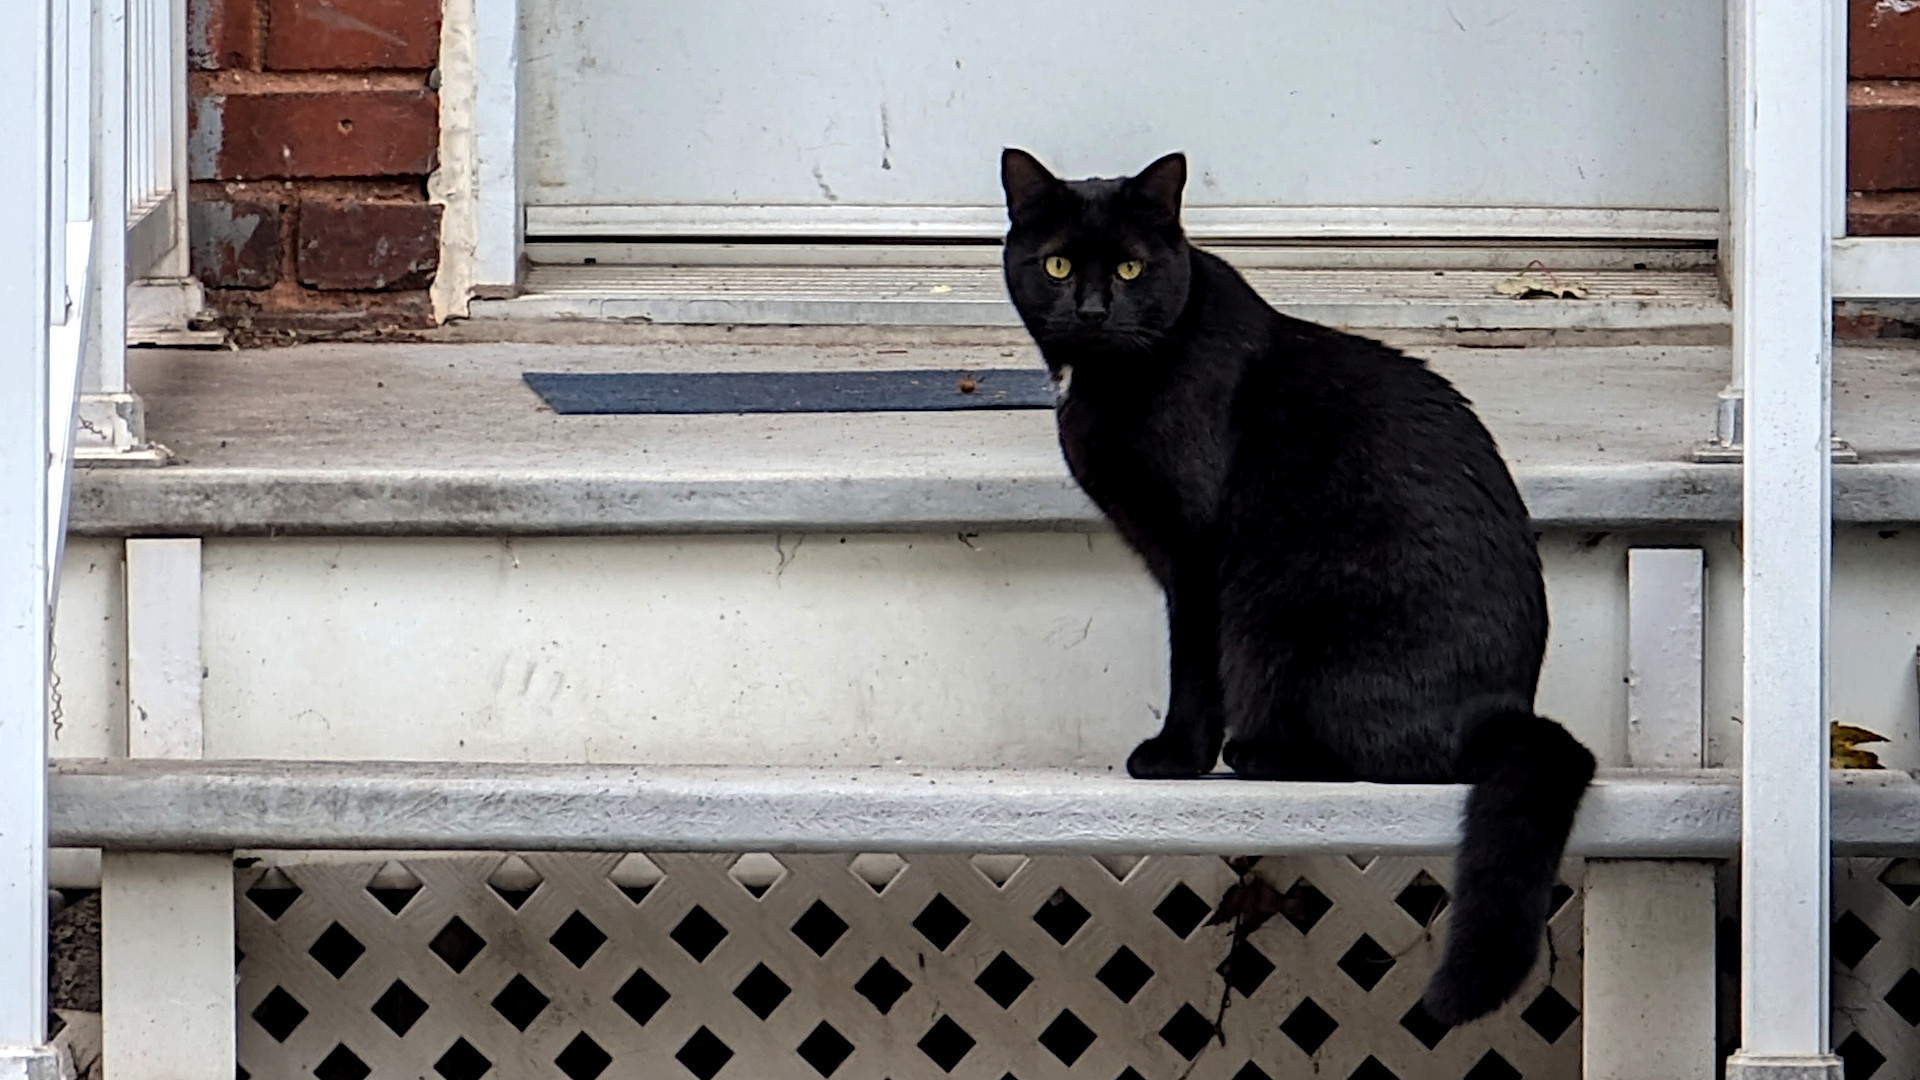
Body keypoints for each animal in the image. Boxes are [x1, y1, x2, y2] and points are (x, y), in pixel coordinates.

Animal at [998, 148, 1597, 1014]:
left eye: (1130, 267)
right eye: (1057, 265)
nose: (1093, 308)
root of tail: (1505, 715)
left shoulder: (1196, 558)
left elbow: (1193, 669)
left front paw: (1175, 757)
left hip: (1286, 628)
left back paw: (1253, 751)